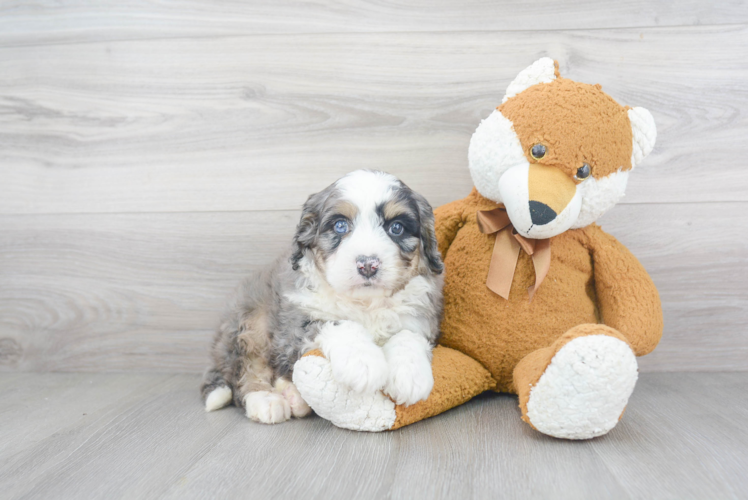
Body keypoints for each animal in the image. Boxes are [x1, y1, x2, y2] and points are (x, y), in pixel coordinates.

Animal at [199, 170, 444, 424]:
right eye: (340, 225)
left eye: (396, 227)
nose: (368, 265)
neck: (365, 303)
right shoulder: (294, 324)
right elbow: (338, 323)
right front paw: (363, 362)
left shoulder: (420, 314)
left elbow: (408, 334)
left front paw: (410, 375)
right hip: (249, 323)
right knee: (245, 371)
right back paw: (266, 400)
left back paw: (294, 396)